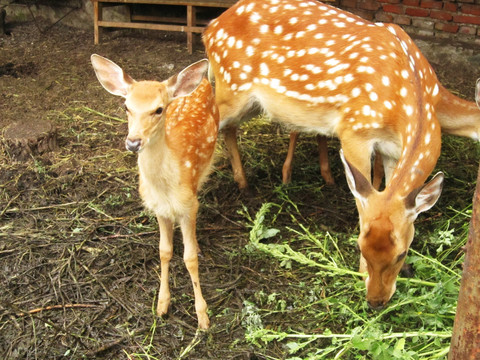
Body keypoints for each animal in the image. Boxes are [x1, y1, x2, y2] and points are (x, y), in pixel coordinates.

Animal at [90, 54, 218, 328]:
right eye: (126, 107)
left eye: (159, 109)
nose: (133, 142)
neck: (166, 186)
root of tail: (202, 82)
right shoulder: (159, 208)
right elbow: (164, 252)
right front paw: (162, 305)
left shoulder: (188, 204)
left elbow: (189, 258)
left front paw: (202, 316)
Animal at [203, 0, 446, 310]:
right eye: (359, 245)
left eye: (402, 252)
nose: (375, 301)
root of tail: (211, 27)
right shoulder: (354, 130)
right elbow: (361, 199)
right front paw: (359, 273)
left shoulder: (392, 151)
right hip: (231, 85)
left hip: (246, 101)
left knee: (227, 128)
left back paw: (243, 183)